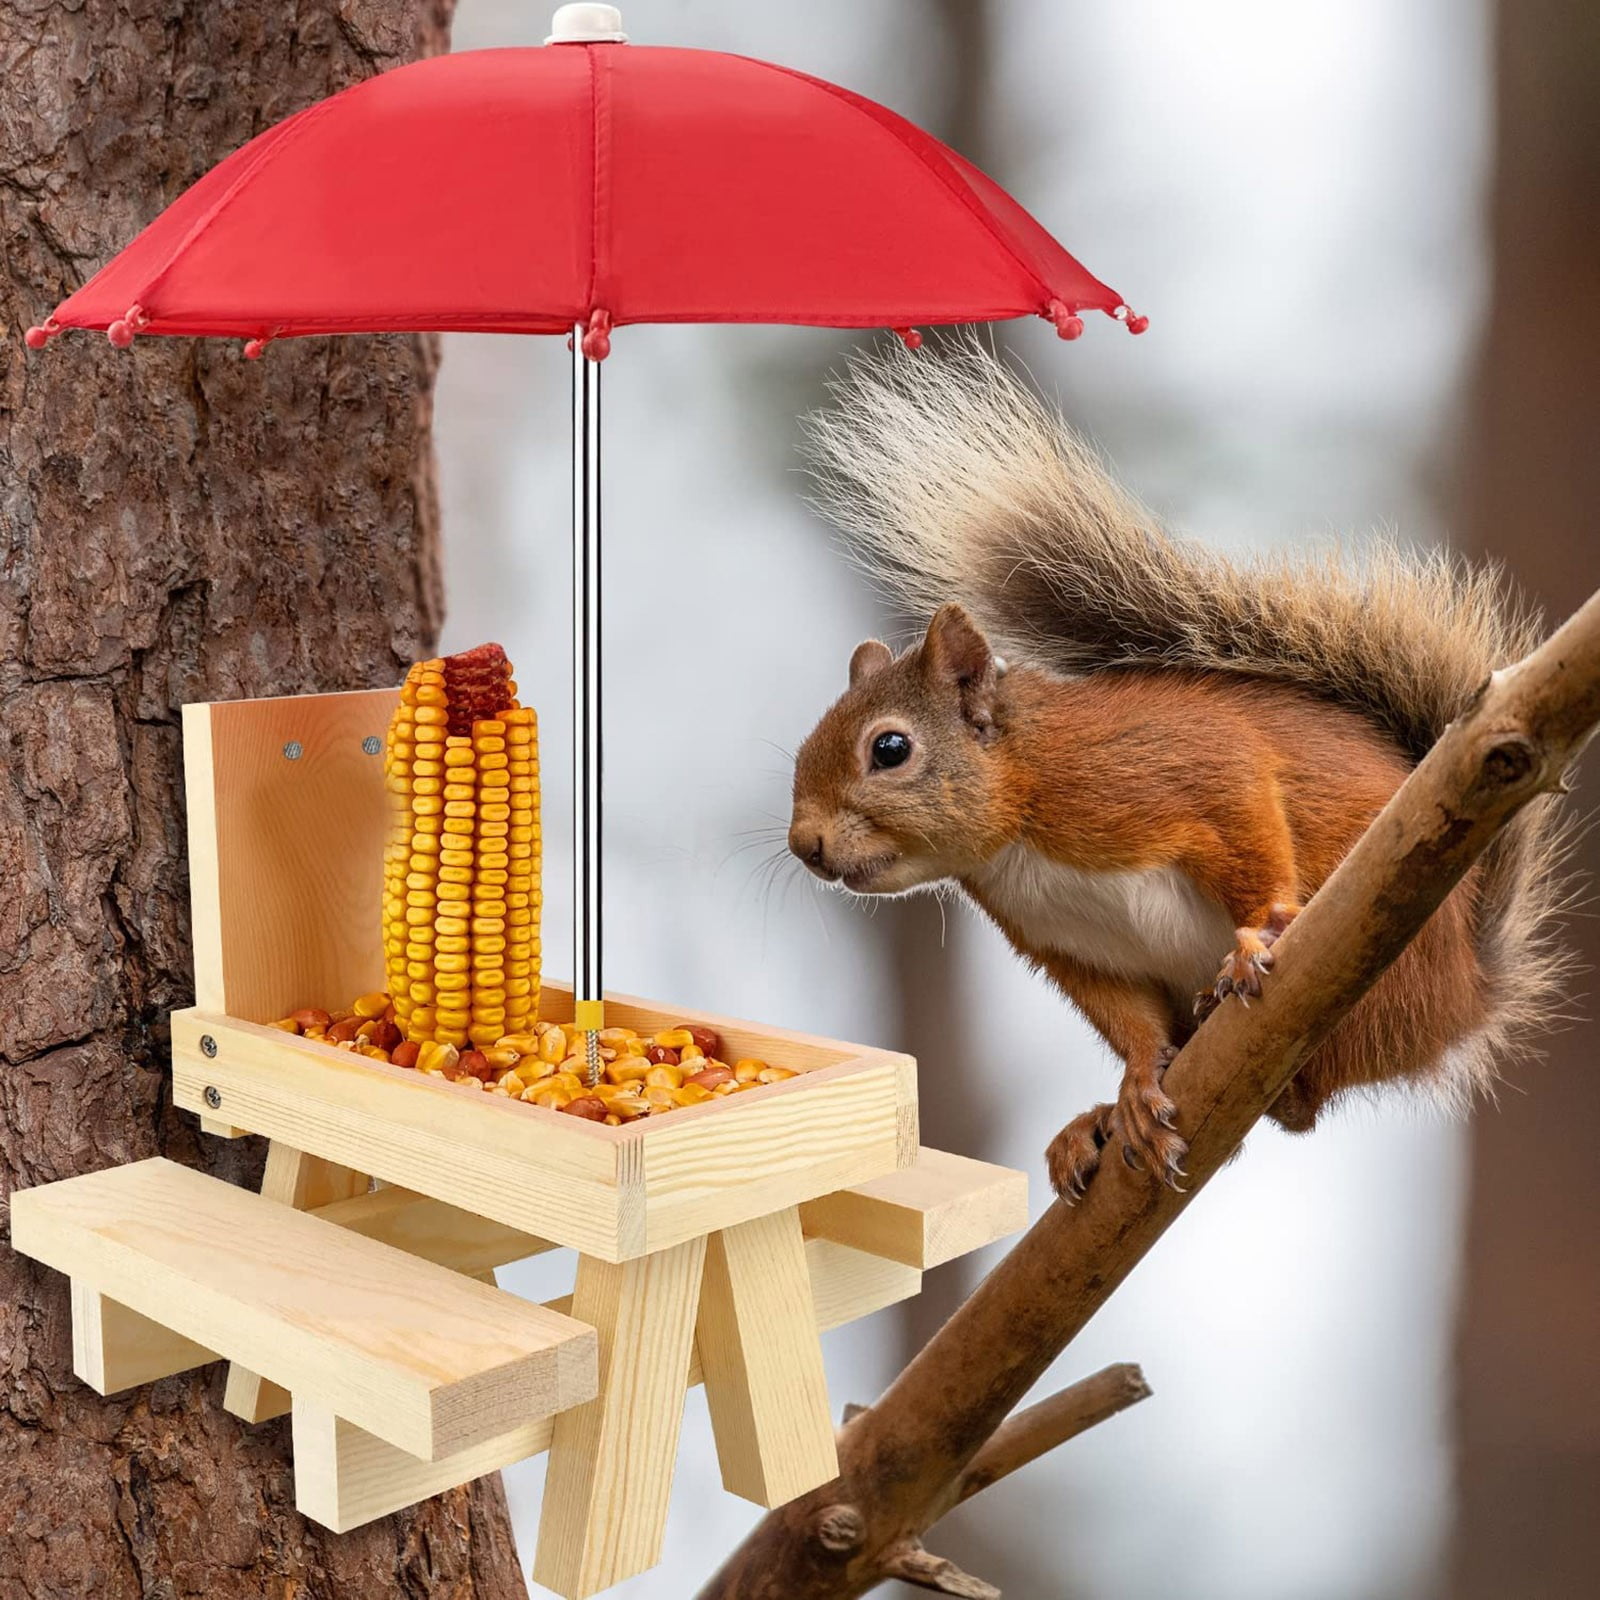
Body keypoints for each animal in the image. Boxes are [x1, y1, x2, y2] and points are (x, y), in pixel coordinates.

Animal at [786, 337, 1570, 1200]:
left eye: (889, 749)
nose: (804, 846)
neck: (1021, 821)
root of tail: (1468, 992)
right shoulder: (1073, 947)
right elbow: (1128, 1021)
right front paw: (1131, 1088)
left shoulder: (1178, 770)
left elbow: (1248, 823)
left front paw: (1257, 938)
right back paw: (1094, 1125)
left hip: (1378, 976)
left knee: (1312, 1096)